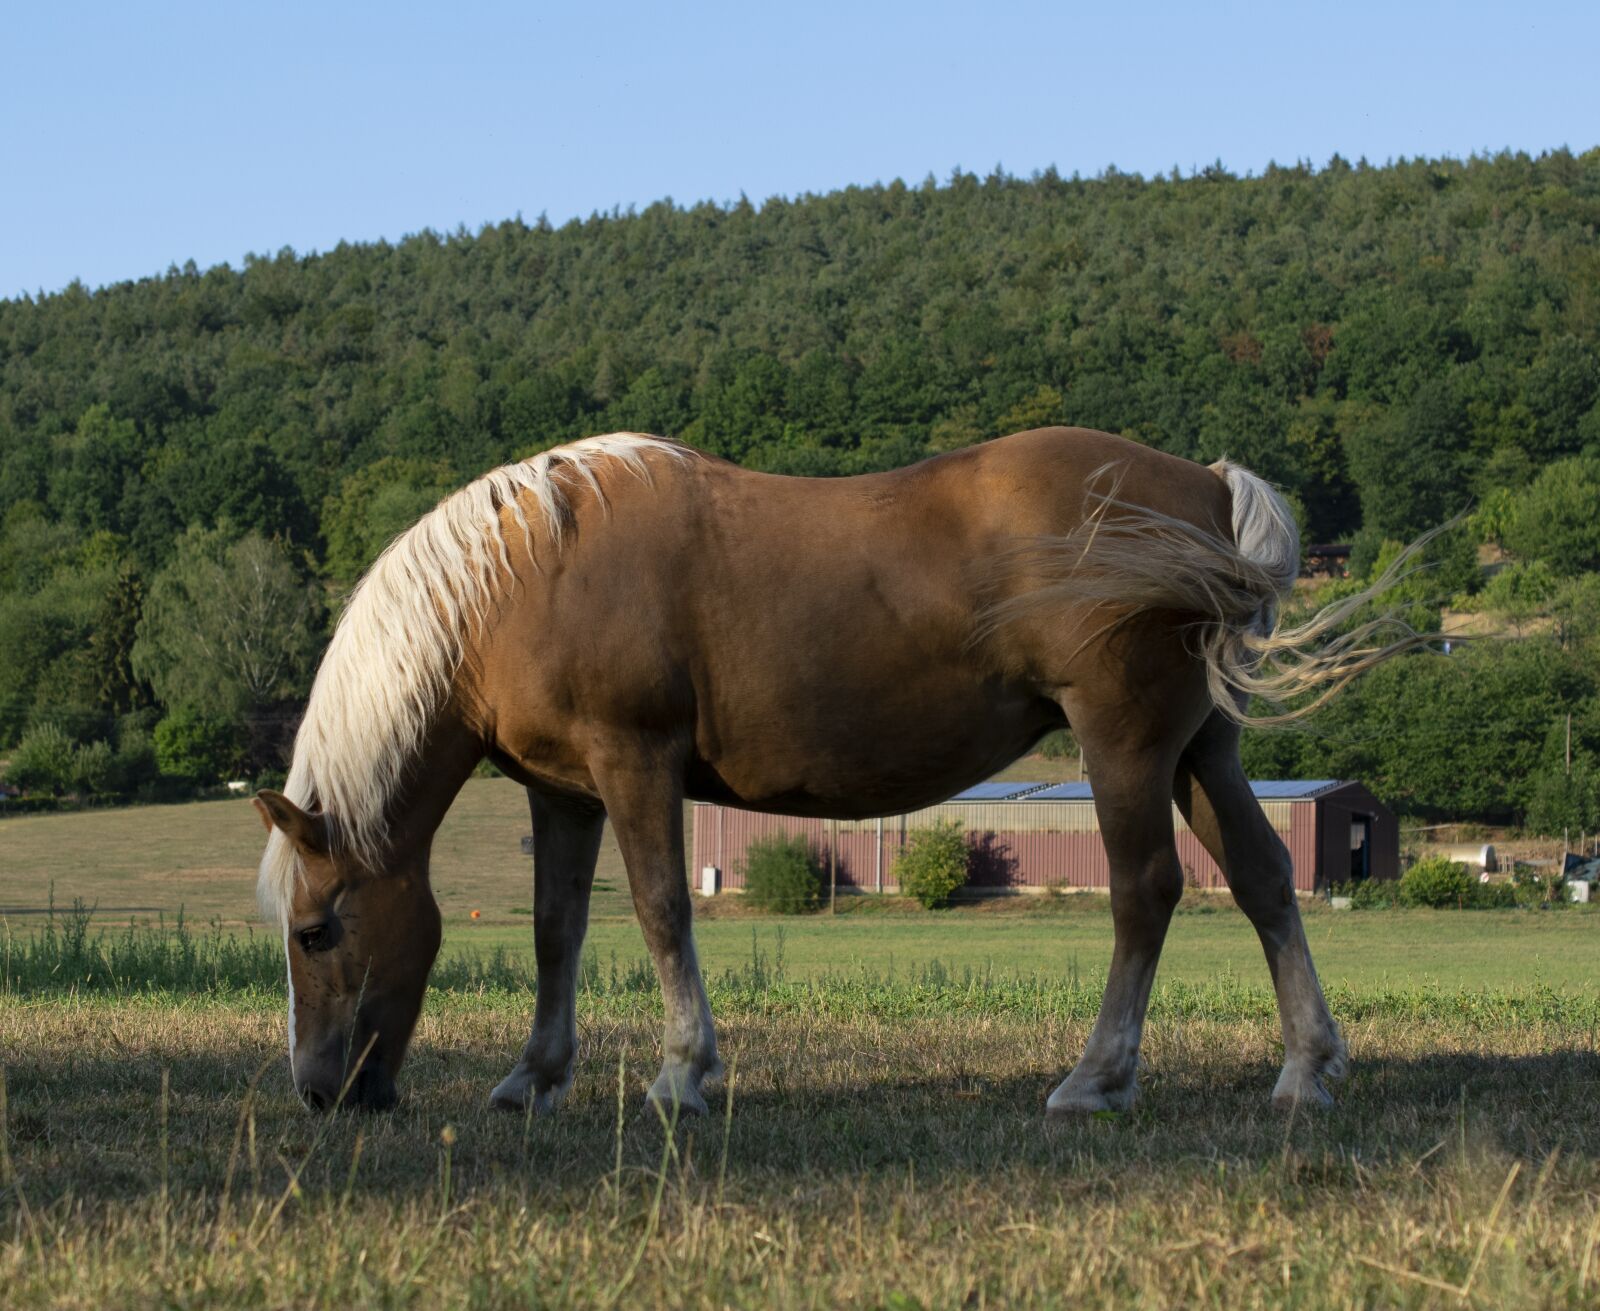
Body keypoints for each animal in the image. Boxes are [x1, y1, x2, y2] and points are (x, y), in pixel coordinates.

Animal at [253, 426, 1425, 1116]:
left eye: (316, 931)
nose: (318, 1092)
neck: (528, 572)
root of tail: (1205, 488)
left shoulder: (634, 761)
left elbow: (662, 909)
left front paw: (682, 1071)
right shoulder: (565, 790)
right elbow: (557, 931)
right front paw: (533, 1077)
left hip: (1123, 744)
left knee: (1146, 892)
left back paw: (1096, 1077)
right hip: (1199, 750)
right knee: (1266, 880)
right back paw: (1305, 1070)